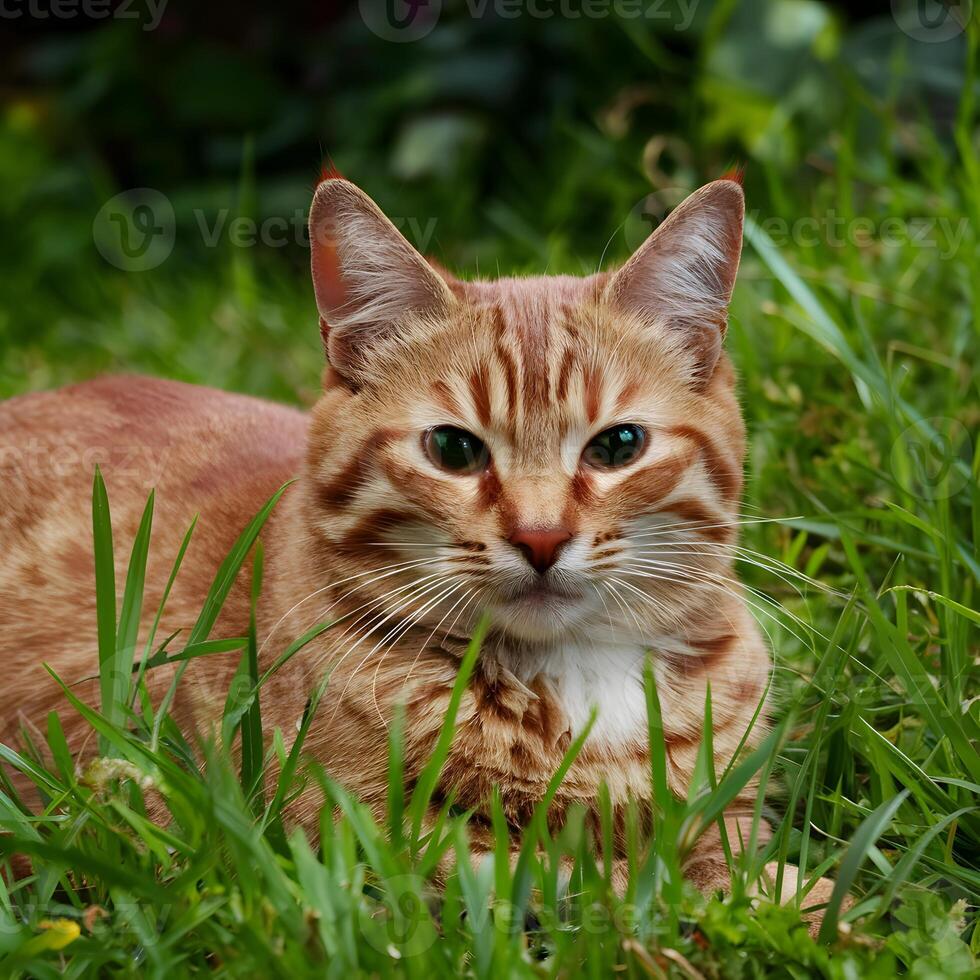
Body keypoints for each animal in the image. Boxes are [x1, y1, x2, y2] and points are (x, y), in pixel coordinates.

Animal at [0, 174, 832, 912]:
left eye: (618, 445)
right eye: (454, 450)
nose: (541, 536)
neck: (577, 674)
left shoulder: (731, 810)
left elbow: (716, 854)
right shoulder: (355, 836)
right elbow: (612, 880)